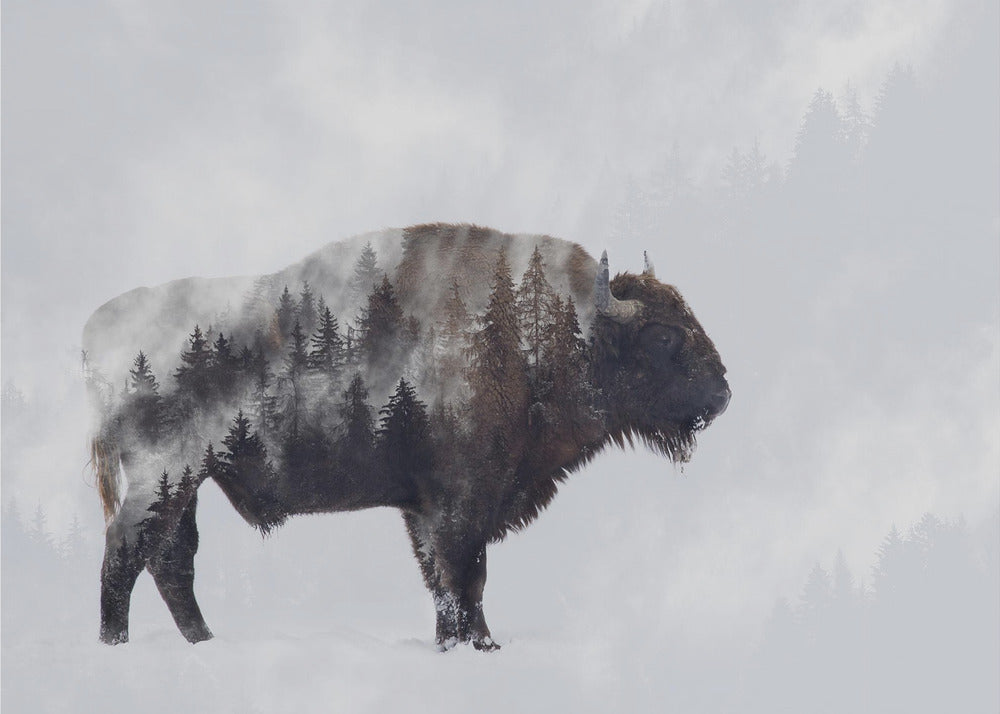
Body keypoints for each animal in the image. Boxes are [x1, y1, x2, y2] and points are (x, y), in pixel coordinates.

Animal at [85, 223, 729, 650]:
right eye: (663, 335)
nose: (722, 394)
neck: (546, 329)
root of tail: (99, 325)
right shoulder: (459, 502)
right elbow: (464, 577)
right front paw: (477, 646)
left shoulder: (426, 507)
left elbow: (448, 580)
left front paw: (465, 644)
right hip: (165, 476)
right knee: (127, 552)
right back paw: (117, 644)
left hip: (187, 483)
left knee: (171, 559)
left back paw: (204, 641)